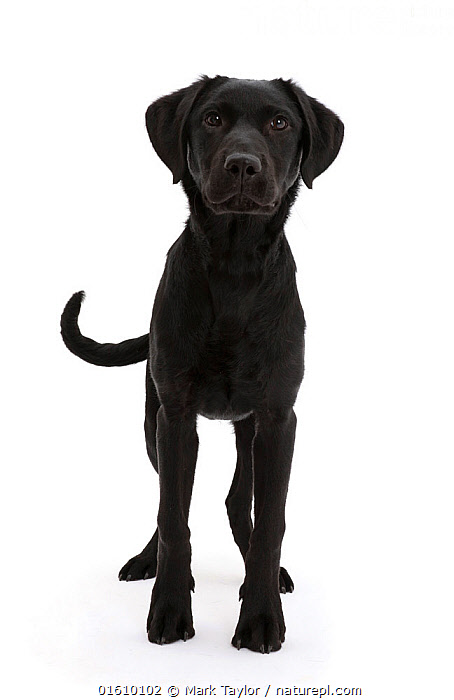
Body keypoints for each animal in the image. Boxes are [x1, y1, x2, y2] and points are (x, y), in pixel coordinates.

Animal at [61, 76, 344, 652]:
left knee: (240, 503)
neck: (234, 269)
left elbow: (271, 523)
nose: (242, 165)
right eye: (212, 119)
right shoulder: (175, 416)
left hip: (249, 431)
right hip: (153, 424)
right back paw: (149, 560)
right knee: (171, 502)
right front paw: (170, 607)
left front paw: (262, 615)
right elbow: (174, 517)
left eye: (279, 123)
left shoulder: (278, 419)